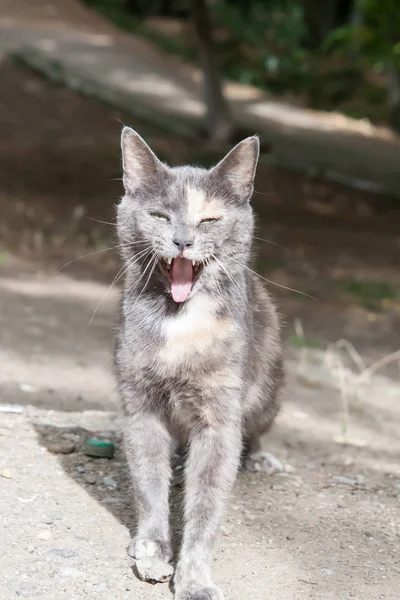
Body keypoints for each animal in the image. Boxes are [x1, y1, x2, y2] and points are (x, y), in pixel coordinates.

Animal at [113, 127, 284, 600]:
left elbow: (207, 503)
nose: (183, 241)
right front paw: (152, 550)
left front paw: (194, 579)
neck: (180, 322)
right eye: (158, 215)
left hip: (267, 391)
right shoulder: (141, 407)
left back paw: (259, 459)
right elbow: (149, 484)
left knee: (255, 432)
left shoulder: (219, 420)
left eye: (209, 220)